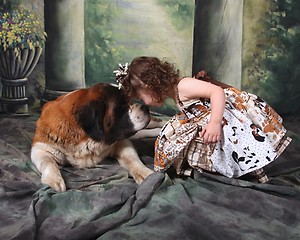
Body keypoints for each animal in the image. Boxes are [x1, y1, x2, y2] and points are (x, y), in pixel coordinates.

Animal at [31, 82, 163, 191]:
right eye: (122, 106)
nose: (145, 107)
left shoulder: (121, 142)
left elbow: (132, 159)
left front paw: (145, 173)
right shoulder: (40, 148)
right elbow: (48, 162)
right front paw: (54, 180)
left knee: (155, 123)